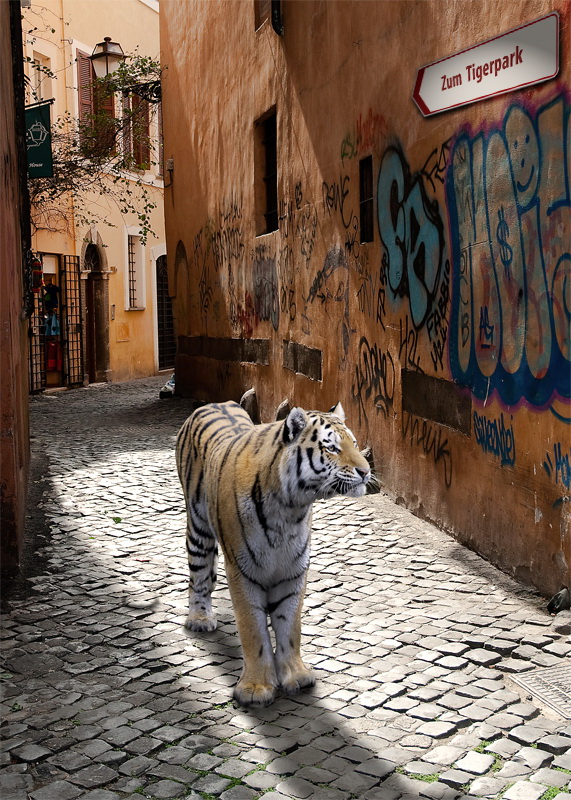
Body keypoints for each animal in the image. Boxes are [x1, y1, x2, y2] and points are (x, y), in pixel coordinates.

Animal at [175, 399, 371, 707]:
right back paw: (199, 619)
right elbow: (253, 631)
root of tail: (214, 403)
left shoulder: (292, 571)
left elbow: (290, 627)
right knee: (199, 577)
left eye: (354, 443)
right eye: (332, 448)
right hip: (198, 529)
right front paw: (256, 688)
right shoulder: (242, 571)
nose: (366, 471)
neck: (290, 508)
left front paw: (295, 675)